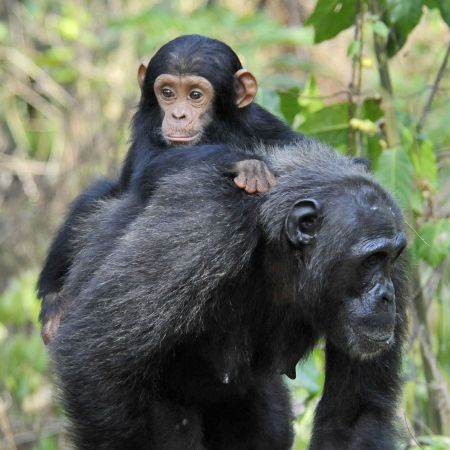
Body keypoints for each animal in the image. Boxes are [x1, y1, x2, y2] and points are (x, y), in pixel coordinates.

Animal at [37, 35, 300, 344]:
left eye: (195, 95)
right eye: (167, 92)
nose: (178, 114)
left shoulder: (262, 122)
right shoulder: (146, 122)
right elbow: (150, 167)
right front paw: (246, 163)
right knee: (95, 198)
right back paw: (54, 303)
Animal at [51, 140, 408, 450]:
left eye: (391, 257)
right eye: (371, 259)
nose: (386, 295)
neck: (280, 256)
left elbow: (354, 416)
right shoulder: (206, 224)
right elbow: (94, 357)